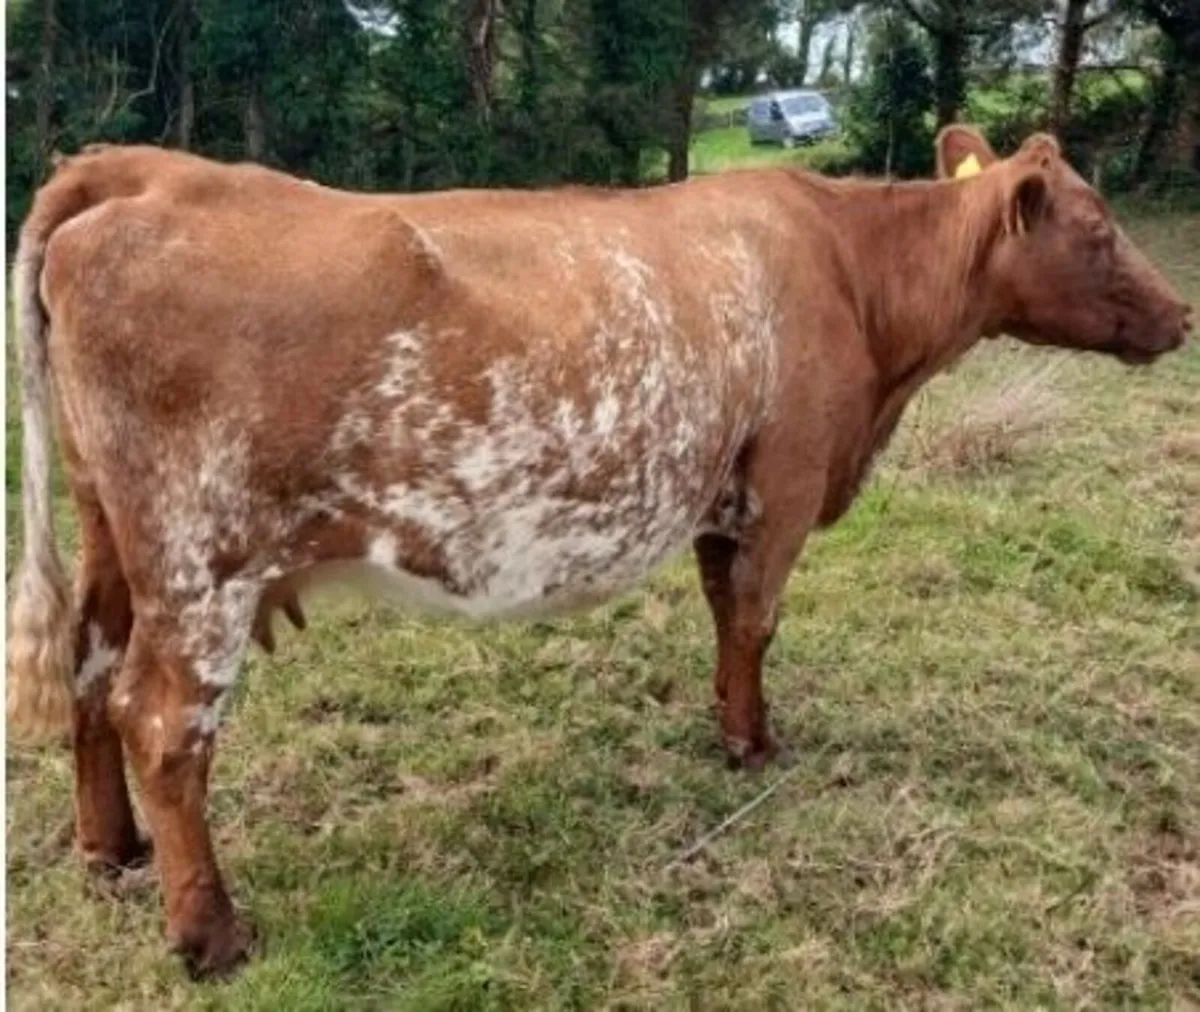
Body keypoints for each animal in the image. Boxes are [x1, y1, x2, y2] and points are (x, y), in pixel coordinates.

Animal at [7, 126, 1191, 978]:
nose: (1181, 315)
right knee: (164, 721)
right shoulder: (787, 479)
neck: (857, 280)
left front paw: (728, 726)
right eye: (1096, 230)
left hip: (113, 533)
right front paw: (756, 749)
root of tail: (146, 171)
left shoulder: (726, 490)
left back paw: (110, 851)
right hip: (201, 557)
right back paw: (211, 936)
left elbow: (726, 617)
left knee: (89, 668)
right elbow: (757, 615)